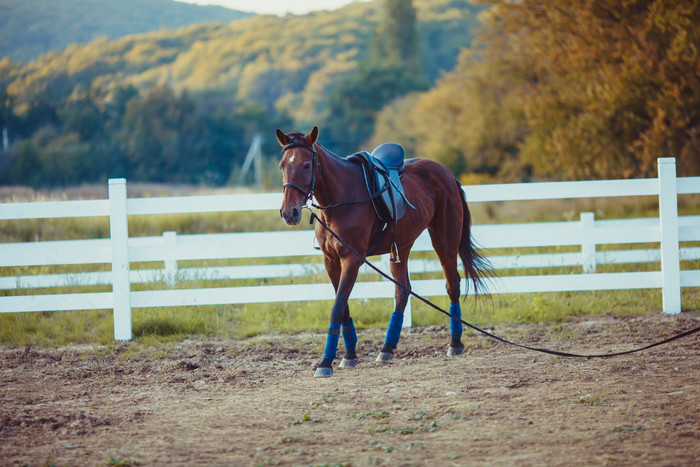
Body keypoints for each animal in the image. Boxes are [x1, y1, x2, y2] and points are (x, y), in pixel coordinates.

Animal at [276, 127, 490, 376]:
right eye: (282, 165)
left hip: (444, 241)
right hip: (401, 246)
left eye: (307, 165)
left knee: (452, 284)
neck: (342, 197)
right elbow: (343, 306)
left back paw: (455, 343)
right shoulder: (331, 261)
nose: (288, 212)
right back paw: (387, 348)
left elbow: (337, 307)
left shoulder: (352, 260)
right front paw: (349, 355)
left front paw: (326, 362)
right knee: (403, 291)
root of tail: (446, 173)